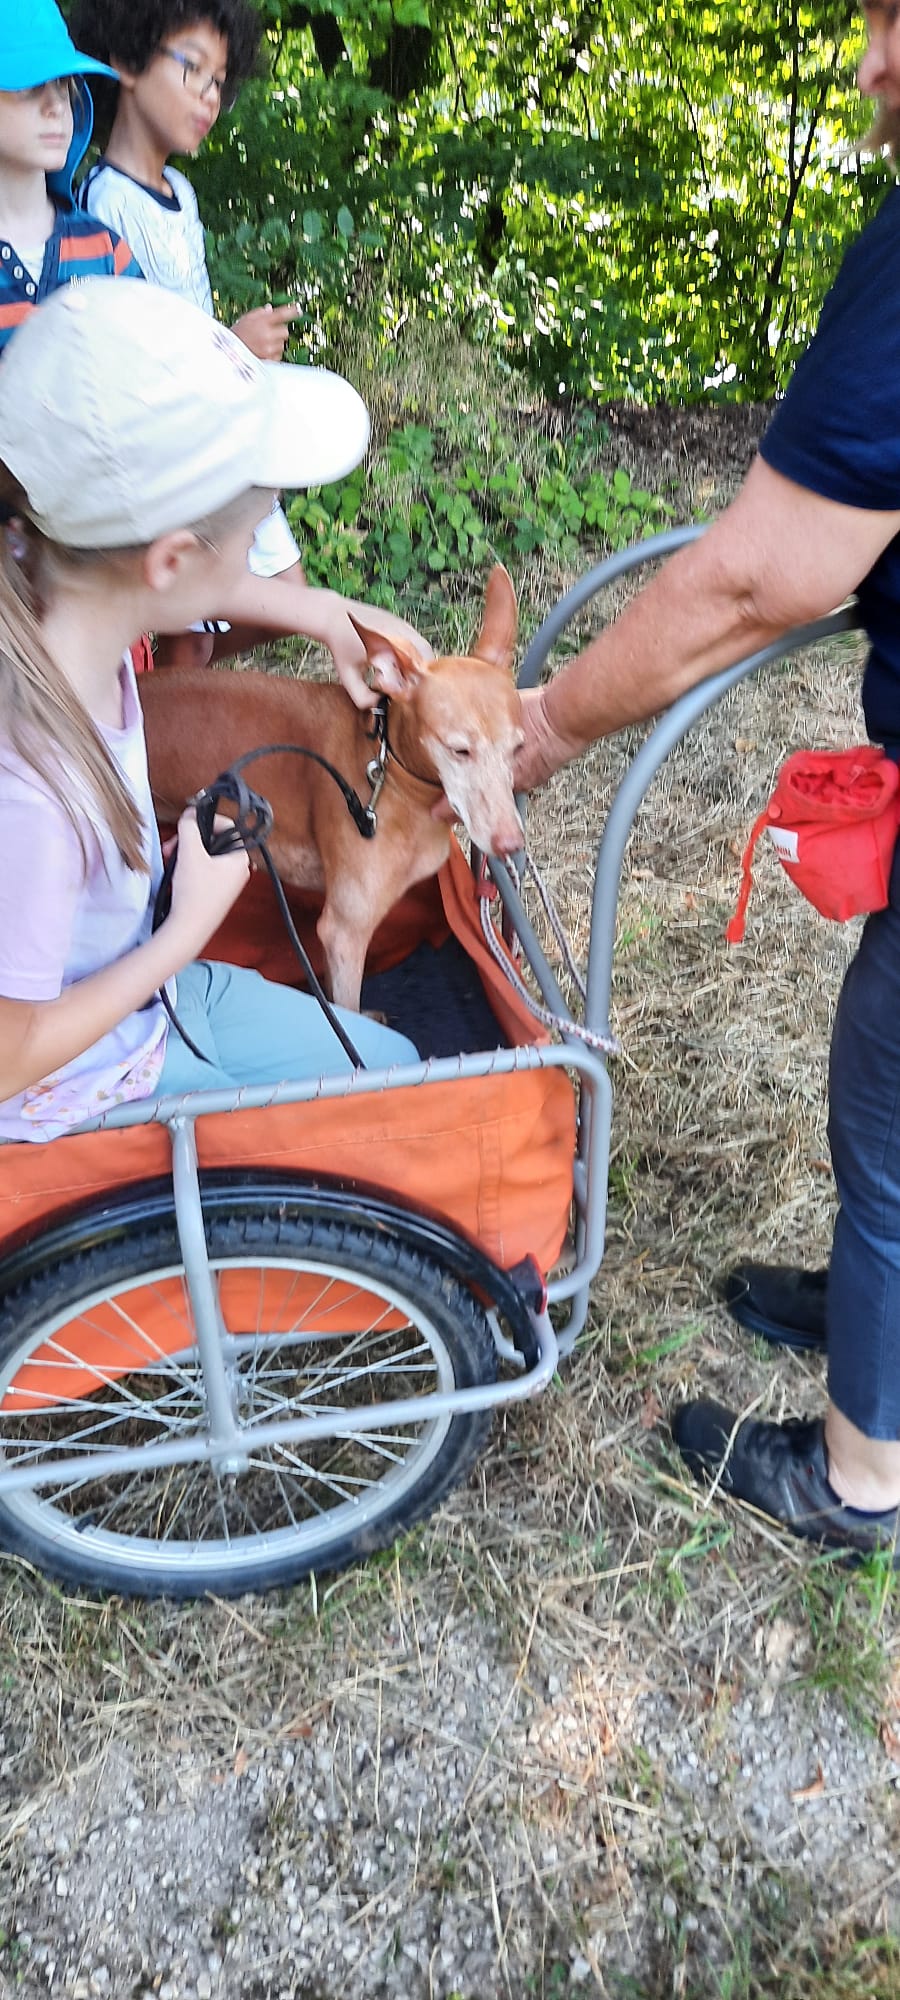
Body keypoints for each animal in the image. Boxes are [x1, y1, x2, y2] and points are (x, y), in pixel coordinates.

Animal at [139, 563, 525, 1012]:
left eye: (517, 748)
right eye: (459, 750)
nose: (510, 843)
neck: (391, 777)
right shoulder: (343, 932)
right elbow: (347, 1011)